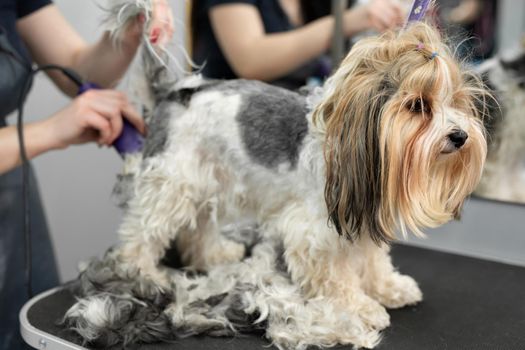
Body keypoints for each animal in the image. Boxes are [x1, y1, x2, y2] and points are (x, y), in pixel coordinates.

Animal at [64, 3, 488, 350]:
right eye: (418, 105)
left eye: (457, 101)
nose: (460, 136)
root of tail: (174, 92)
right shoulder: (314, 232)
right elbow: (336, 277)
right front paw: (359, 306)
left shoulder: (362, 213)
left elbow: (372, 259)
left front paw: (388, 288)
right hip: (173, 181)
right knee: (141, 235)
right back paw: (143, 275)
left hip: (207, 178)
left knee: (196, 228)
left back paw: (214, 254)